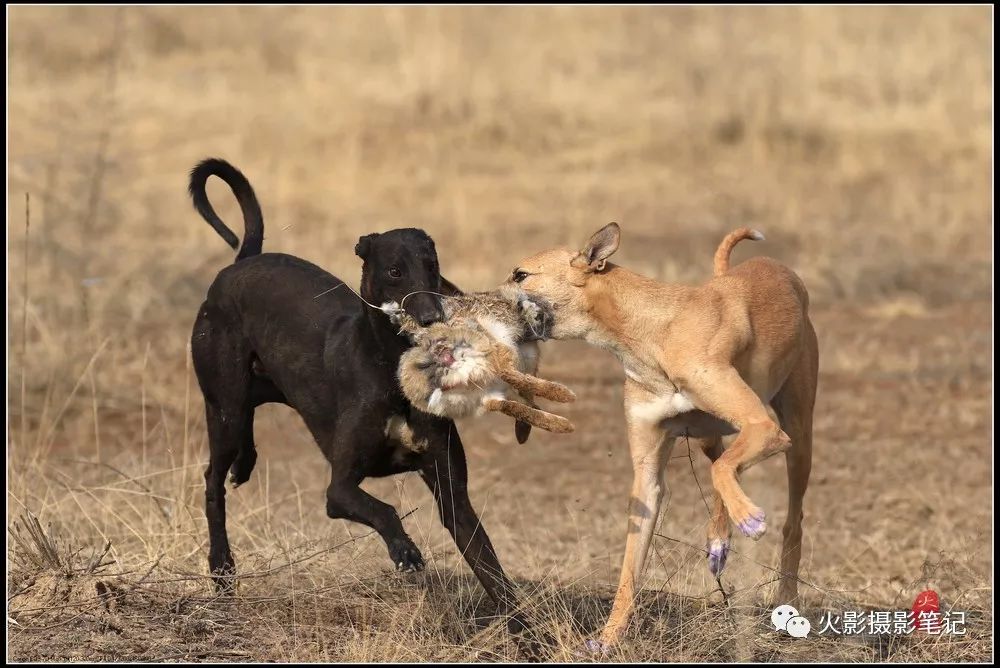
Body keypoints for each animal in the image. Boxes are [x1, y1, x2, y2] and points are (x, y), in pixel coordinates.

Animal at [190, 159, 528, 628]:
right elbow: (381, 509)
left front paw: (527, 631)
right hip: (224, 403)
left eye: (432, 264)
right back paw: (222, 567)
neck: (390, 370)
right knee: (212, 481)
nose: (430, 317)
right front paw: (405, 550)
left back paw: (245, 464)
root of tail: (242, 262)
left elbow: (490, 566)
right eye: (394, 270)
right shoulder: (341, 489)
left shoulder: (452, 495)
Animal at [504, 223, 816, 648]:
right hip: (712, 436)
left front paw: (750, 519)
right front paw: (607, 640)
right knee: (722, 463)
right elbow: (629, 569)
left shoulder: (765, 429)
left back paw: (785, 596)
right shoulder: (648, 475)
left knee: (789, 516)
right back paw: (719, 540)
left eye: (520, 275)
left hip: (796, 435)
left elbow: (726, 473)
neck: (653, 331)